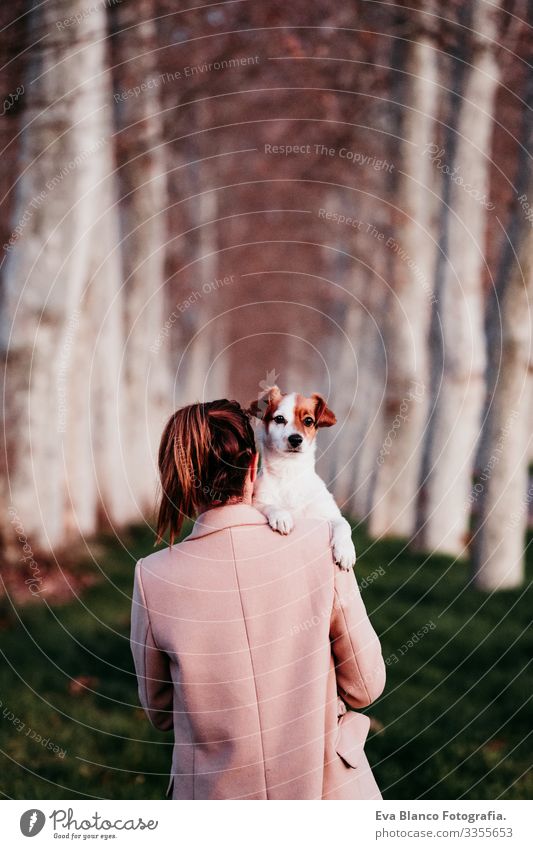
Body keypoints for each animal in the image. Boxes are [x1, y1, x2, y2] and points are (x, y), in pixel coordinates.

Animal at [247, 384, 356, 568]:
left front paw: (346, 551)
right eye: (279, 419)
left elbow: (344, 524)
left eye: (308, 421)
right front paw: (281, 516)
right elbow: (269, 505)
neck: (290, 471)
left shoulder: (330, 514)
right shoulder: (259, 501)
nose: (296, 439)